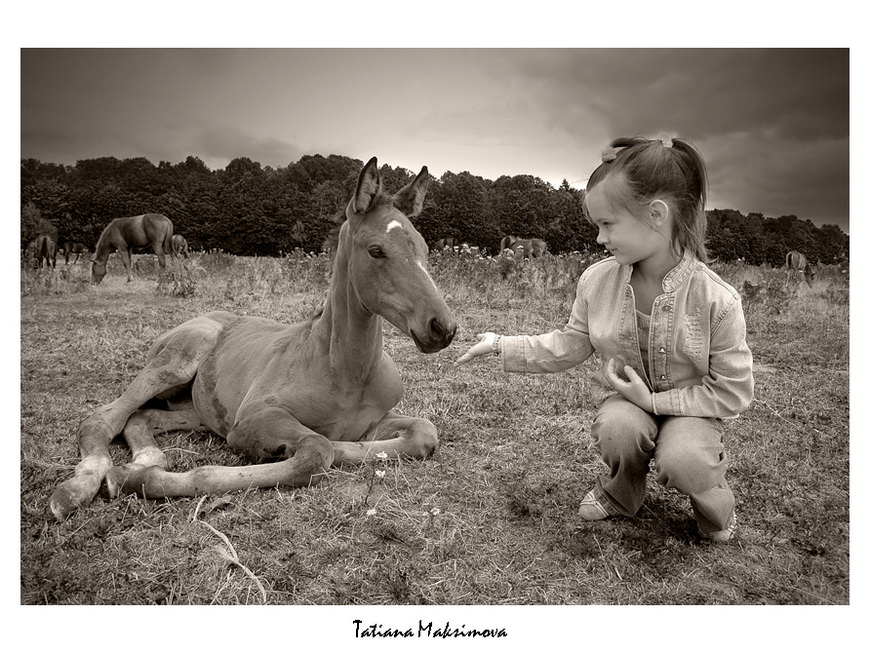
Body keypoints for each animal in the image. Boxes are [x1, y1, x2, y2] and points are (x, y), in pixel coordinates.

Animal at [48, 157, 460, 520]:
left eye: (425, 249)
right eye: (376, 250)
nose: (443, 327)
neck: (344, 371)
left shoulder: (379, 419)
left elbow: (423, 432)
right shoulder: (253, 418)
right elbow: (317, 450)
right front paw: (134, 480)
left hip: (197, 411)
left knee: (140, 418)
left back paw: (145, 460)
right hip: (176, 363)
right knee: (102, 419)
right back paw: (79, 489)